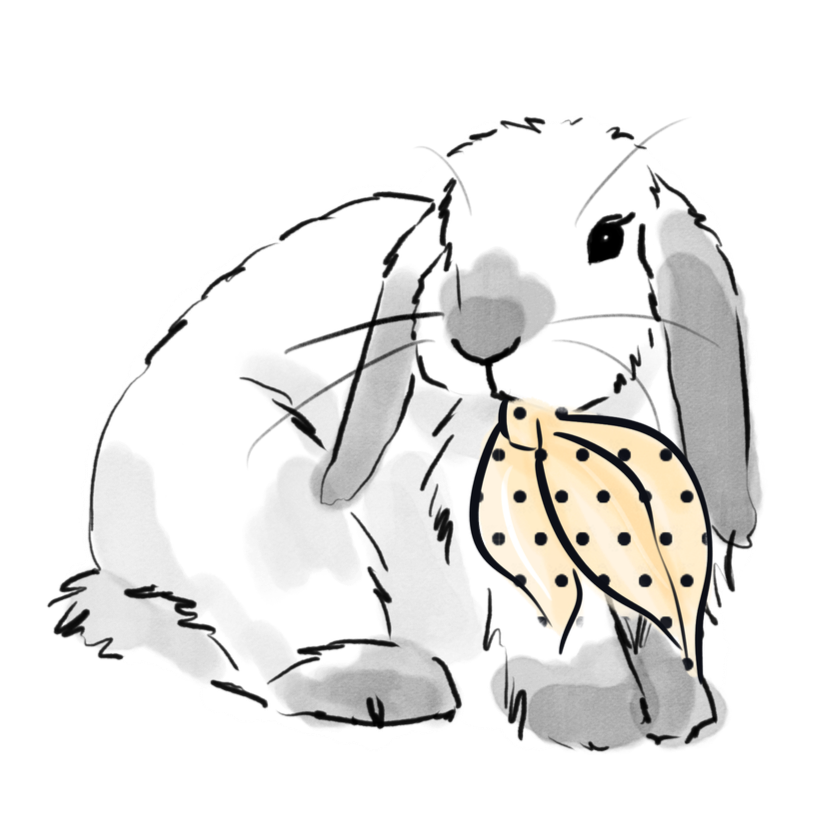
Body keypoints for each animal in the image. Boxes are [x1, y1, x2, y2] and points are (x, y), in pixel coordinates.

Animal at [65, 116, 762, 751]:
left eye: (609, 236)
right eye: (451, 237)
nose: (478, 329)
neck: (568, 429)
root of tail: (116, 554)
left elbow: (660, 618)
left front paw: (683, 709)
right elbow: (557, 624)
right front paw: (594, 715)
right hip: (267, 516)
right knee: (258, 653)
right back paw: (385, 686)